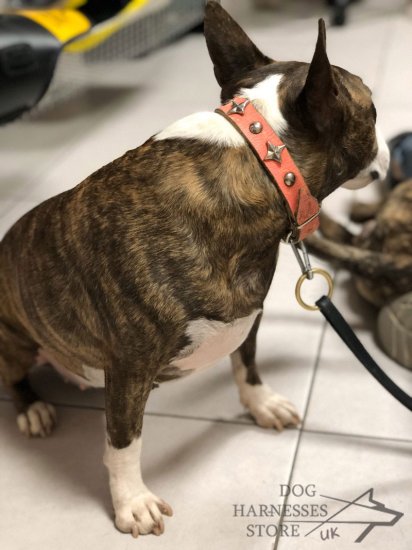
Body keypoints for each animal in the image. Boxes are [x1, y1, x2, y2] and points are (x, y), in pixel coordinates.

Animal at [0, 0, 390, 540]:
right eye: (373, 111)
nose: (389, 149)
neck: (260, 160)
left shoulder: (248, 316)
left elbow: (247, 365)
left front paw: (261, 404)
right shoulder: (128, 370)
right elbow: (124, 443)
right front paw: (132, 502)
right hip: (15, 341)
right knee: (14, 375)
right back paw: (34, 408)